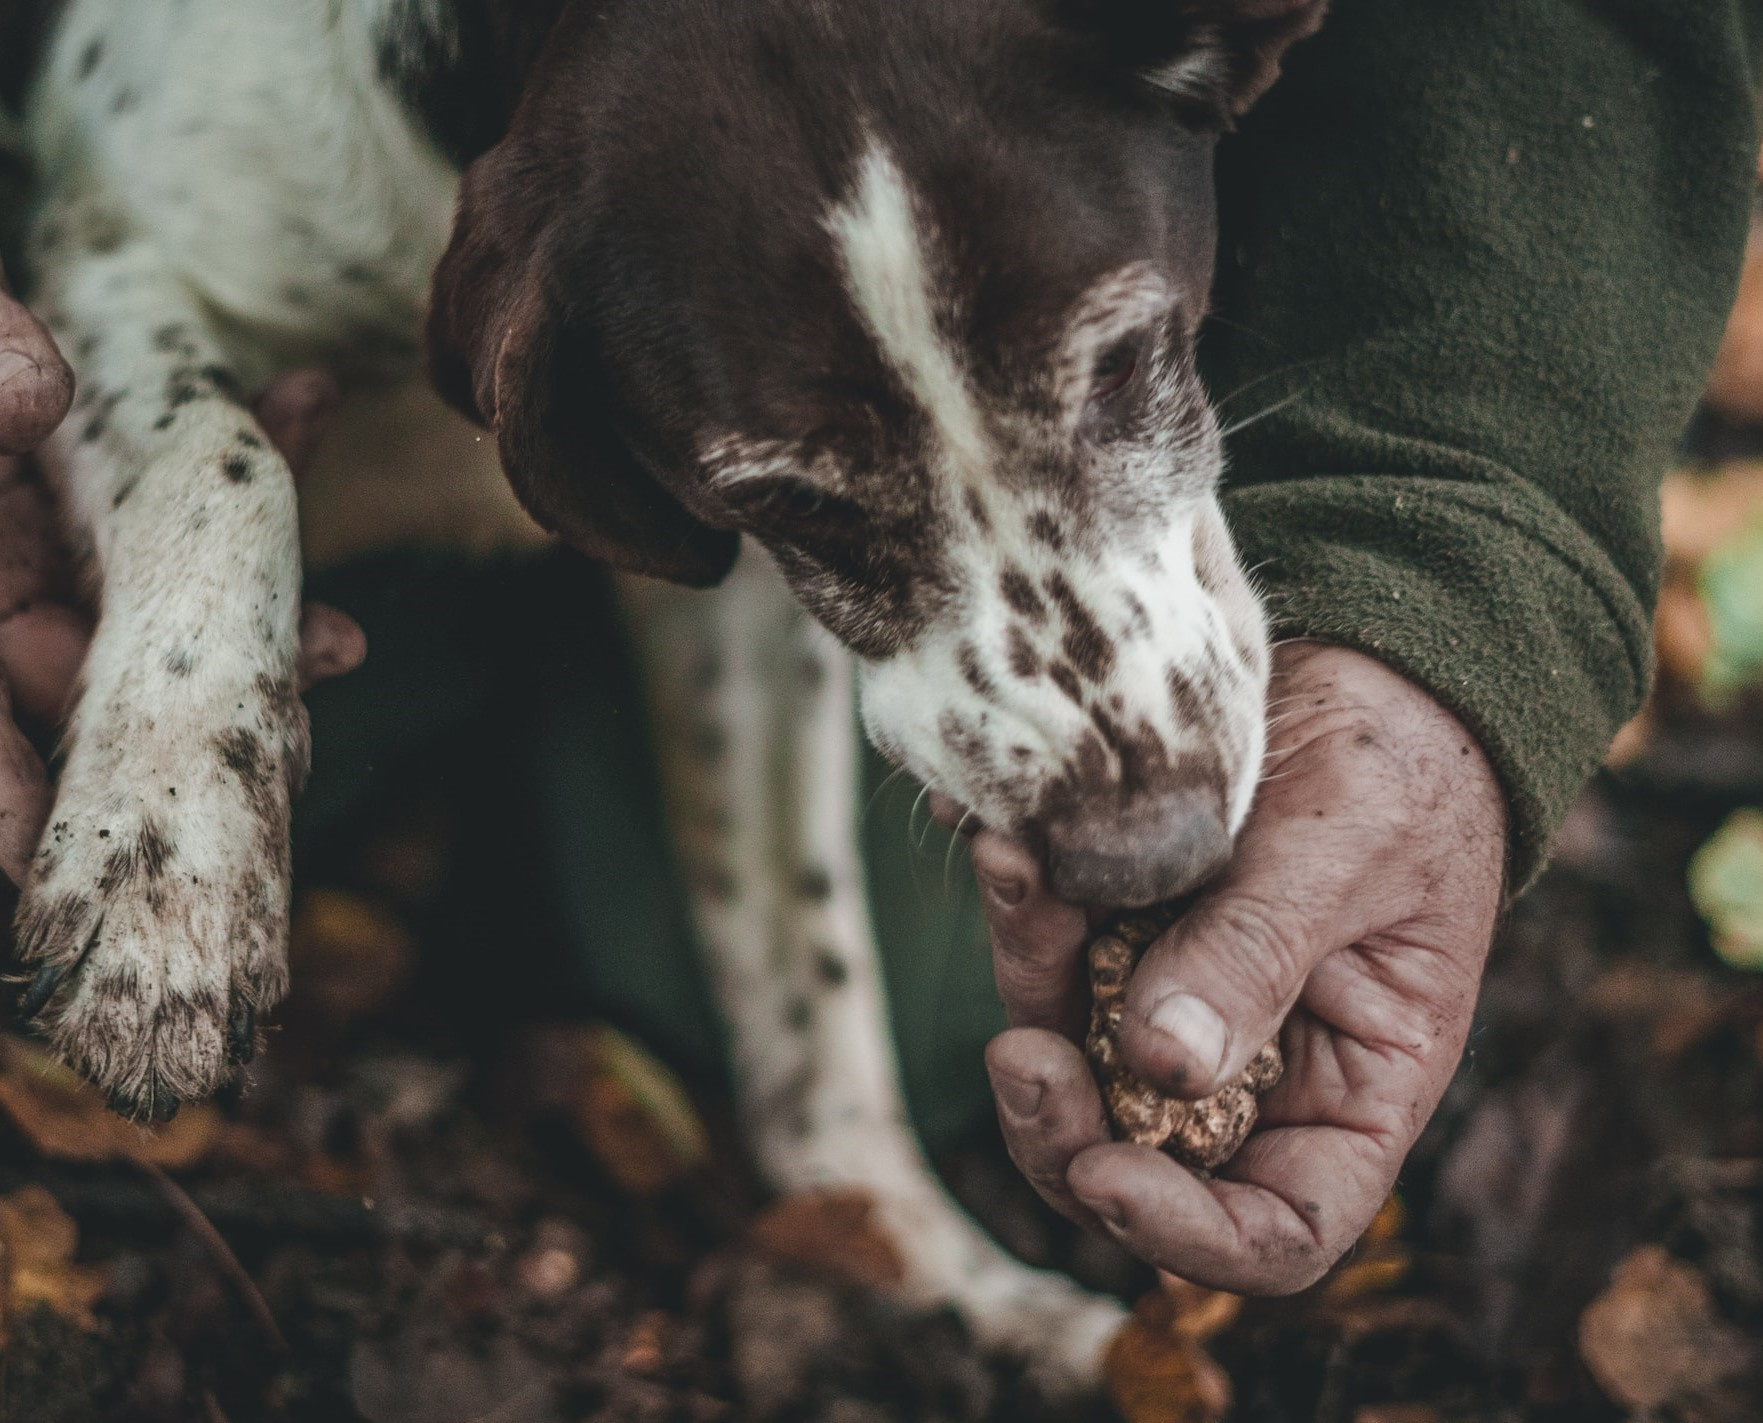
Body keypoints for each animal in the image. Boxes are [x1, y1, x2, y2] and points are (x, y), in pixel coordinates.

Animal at [17, 0, 1325, 1382]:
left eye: (1123, 360)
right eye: (792, 499)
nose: (1148, 855)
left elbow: (804, 972)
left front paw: (920, 1263)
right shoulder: (103, 256)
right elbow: (223, 455)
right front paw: (166, 863)